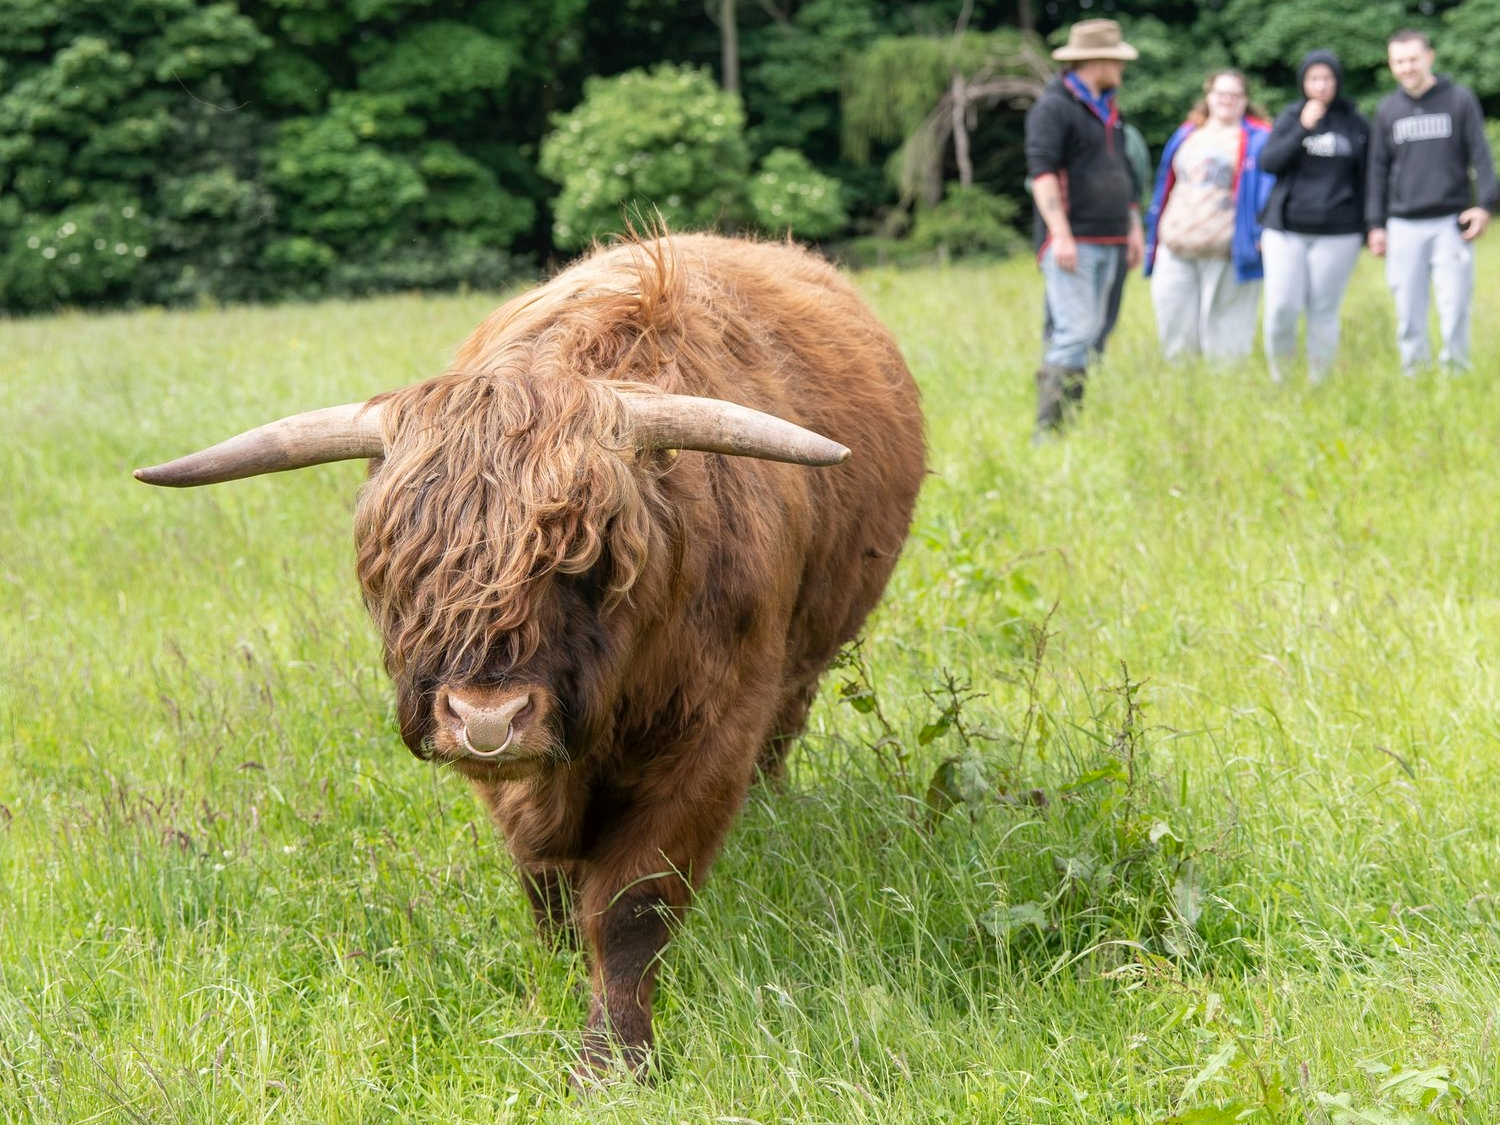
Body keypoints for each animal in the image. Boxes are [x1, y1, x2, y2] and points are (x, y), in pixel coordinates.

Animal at [135, 232, 926, 1084]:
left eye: (589, 561)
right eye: (399, 569)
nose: (488, 718)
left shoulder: (713, 733)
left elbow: (632, 905)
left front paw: (613, 1060)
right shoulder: (515, 780)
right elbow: (548, 885)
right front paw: (556, 975)